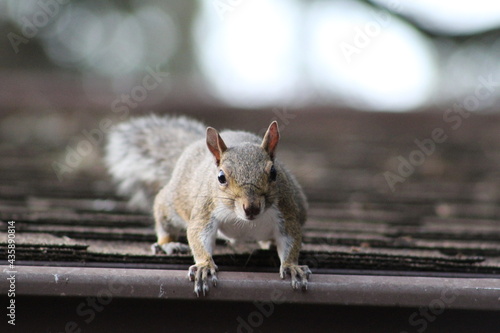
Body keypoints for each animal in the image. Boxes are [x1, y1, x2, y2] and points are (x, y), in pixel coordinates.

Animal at [104, 115, 310, 296]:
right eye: (221, 177)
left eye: (274, 173)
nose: (251, 208)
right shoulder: (206, 210)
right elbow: (198, 233)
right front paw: (204, 266)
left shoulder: (286, 212)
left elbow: (290, 238)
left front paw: (292, 266)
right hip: (174, 204)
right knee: (163, 217)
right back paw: (168, 243)